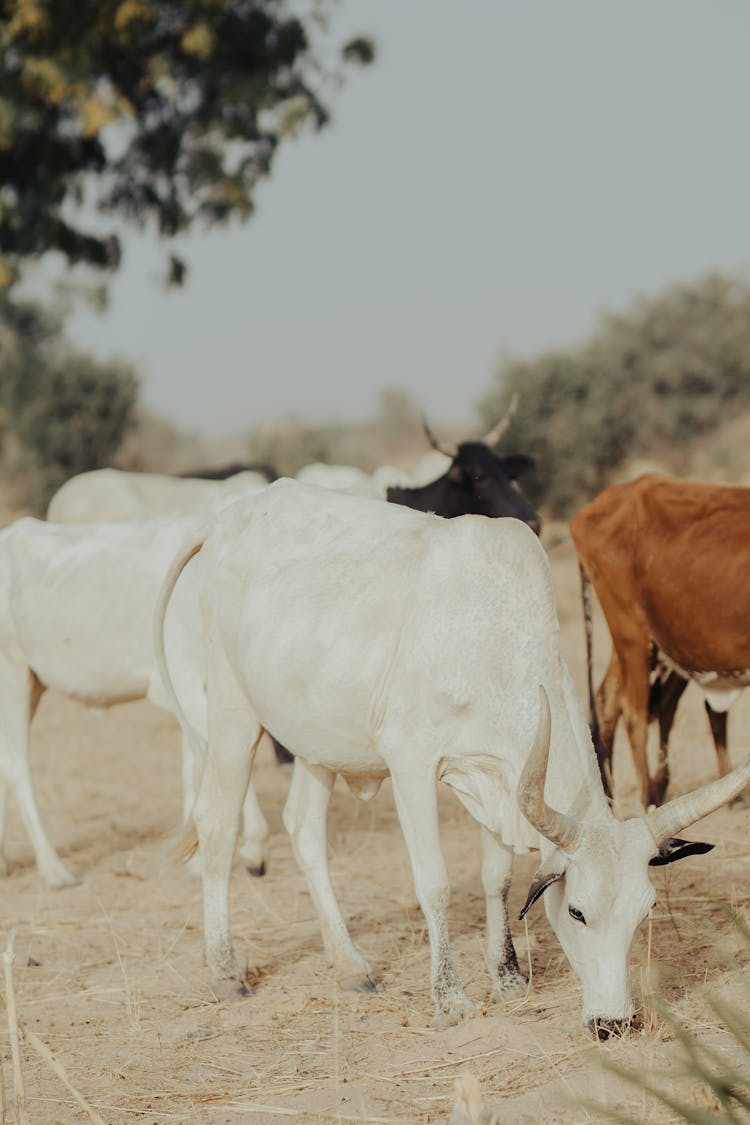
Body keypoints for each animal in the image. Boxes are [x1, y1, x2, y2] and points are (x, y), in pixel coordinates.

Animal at [0, 515, 270, 886]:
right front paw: (253, 849)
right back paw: (54, 871)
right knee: (17, 768)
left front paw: (193, 861)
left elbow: (193, 765)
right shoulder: (184, 681)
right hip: (12, 676)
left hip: (32, 684)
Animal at [568, 474, 750, 810]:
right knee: (634, 715)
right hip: (631, 635)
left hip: (653, 643)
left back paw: (615, 799)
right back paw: (646, 801)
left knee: (611, 702)